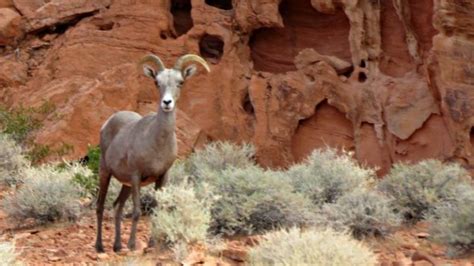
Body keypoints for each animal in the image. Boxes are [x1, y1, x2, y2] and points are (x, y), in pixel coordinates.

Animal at [94, 53, 209, 252]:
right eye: (157, 82)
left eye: (180, 82)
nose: (167, 103)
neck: (157, 144)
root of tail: (107, 123)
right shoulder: (136, 176)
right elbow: (137, 212)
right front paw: (133, 245)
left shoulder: (162, 177)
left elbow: (157, 210)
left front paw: (152, 243)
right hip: (105, 173)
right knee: (100, 206)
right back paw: (100, 246)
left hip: (125, 184)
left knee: (117, 206)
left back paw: (117, 246)